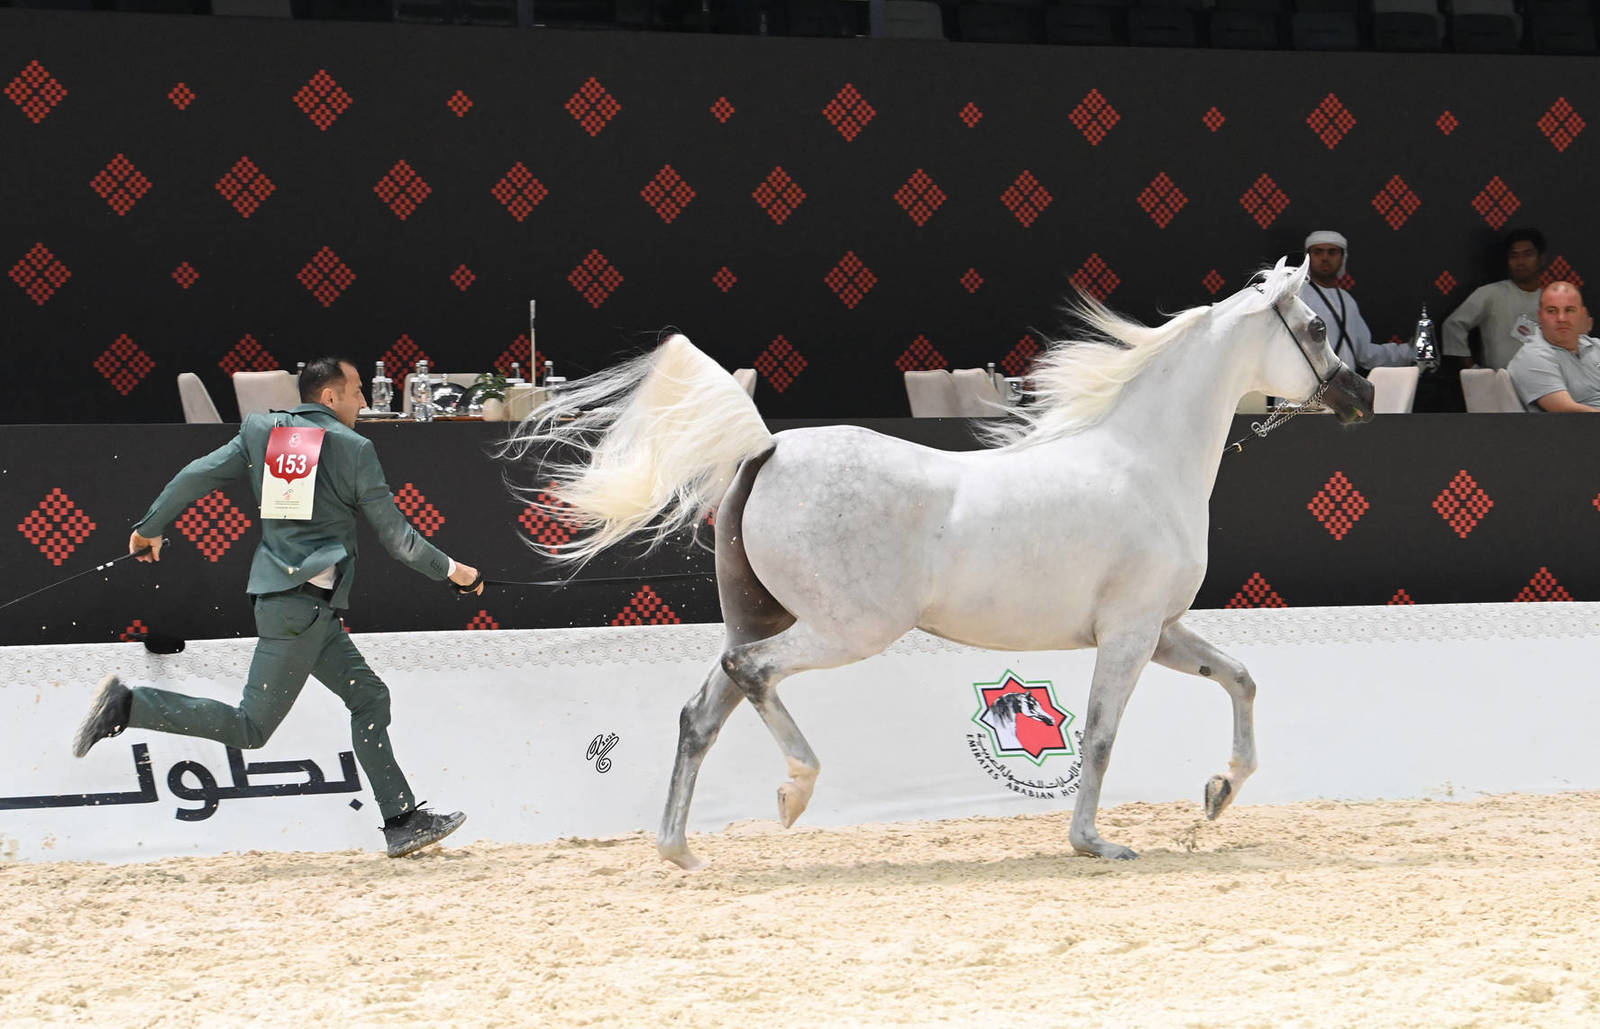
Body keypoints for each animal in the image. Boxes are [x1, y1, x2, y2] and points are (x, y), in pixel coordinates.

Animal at [508, 256, 1373, 868]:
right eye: (1317, 328)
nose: (1361, 396)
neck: (1144, 460)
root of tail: (767, 447)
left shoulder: (1160, 630)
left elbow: (1241, 679)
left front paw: (1219, 791)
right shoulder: (1128, 635)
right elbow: (1098, 736)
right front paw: (1095, 843)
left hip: (763, 616)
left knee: (702, 710)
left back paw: (682, 850)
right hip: (846, 629)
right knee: (751, 674)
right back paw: (793, 793)